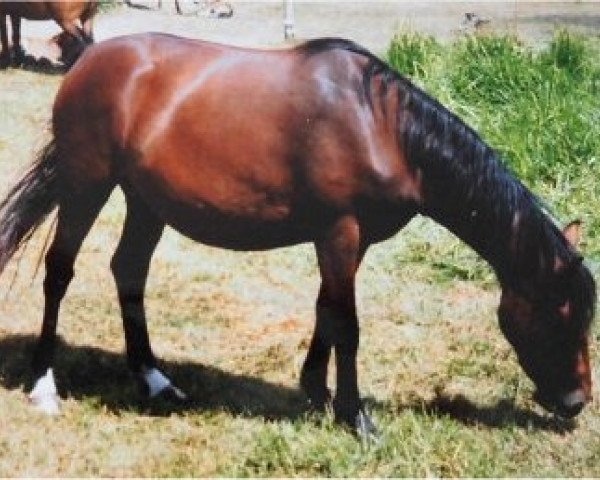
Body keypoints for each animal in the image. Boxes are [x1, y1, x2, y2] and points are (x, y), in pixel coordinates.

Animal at [0, 33, 596, 436]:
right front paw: (356, 416)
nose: (576, 401)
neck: (380, 127)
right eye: (561, 311)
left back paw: (154, 379)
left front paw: (315, 389)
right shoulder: (340, 232)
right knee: (60, 272)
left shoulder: (350, 240)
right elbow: (347, 324)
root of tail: (88, 60)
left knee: (129, 272)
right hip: (87, 185)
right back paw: (44, 386)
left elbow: (326, 309)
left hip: (145, 202)